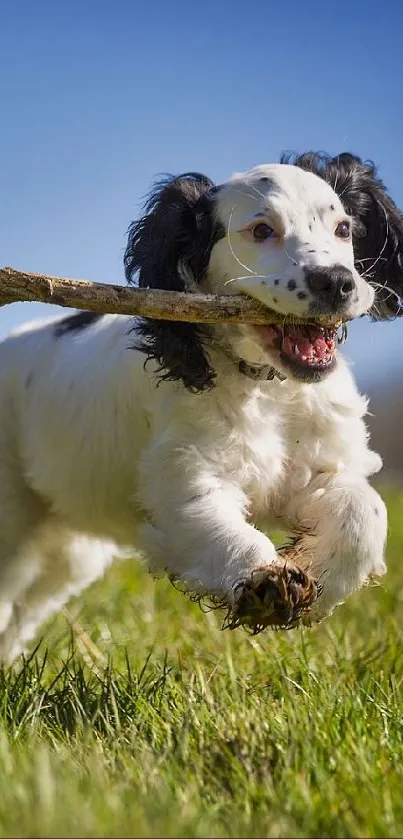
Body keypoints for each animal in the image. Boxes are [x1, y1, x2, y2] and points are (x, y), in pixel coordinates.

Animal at [0, 153, 403, 664]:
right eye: (262, 230)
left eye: (344, 228)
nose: (337, 282)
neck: (265, 387)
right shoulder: (185, 475)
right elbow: (215, 524)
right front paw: (265, 580)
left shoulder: (323, 467)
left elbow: (365, 513)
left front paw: (319, 579)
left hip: (67, 551)